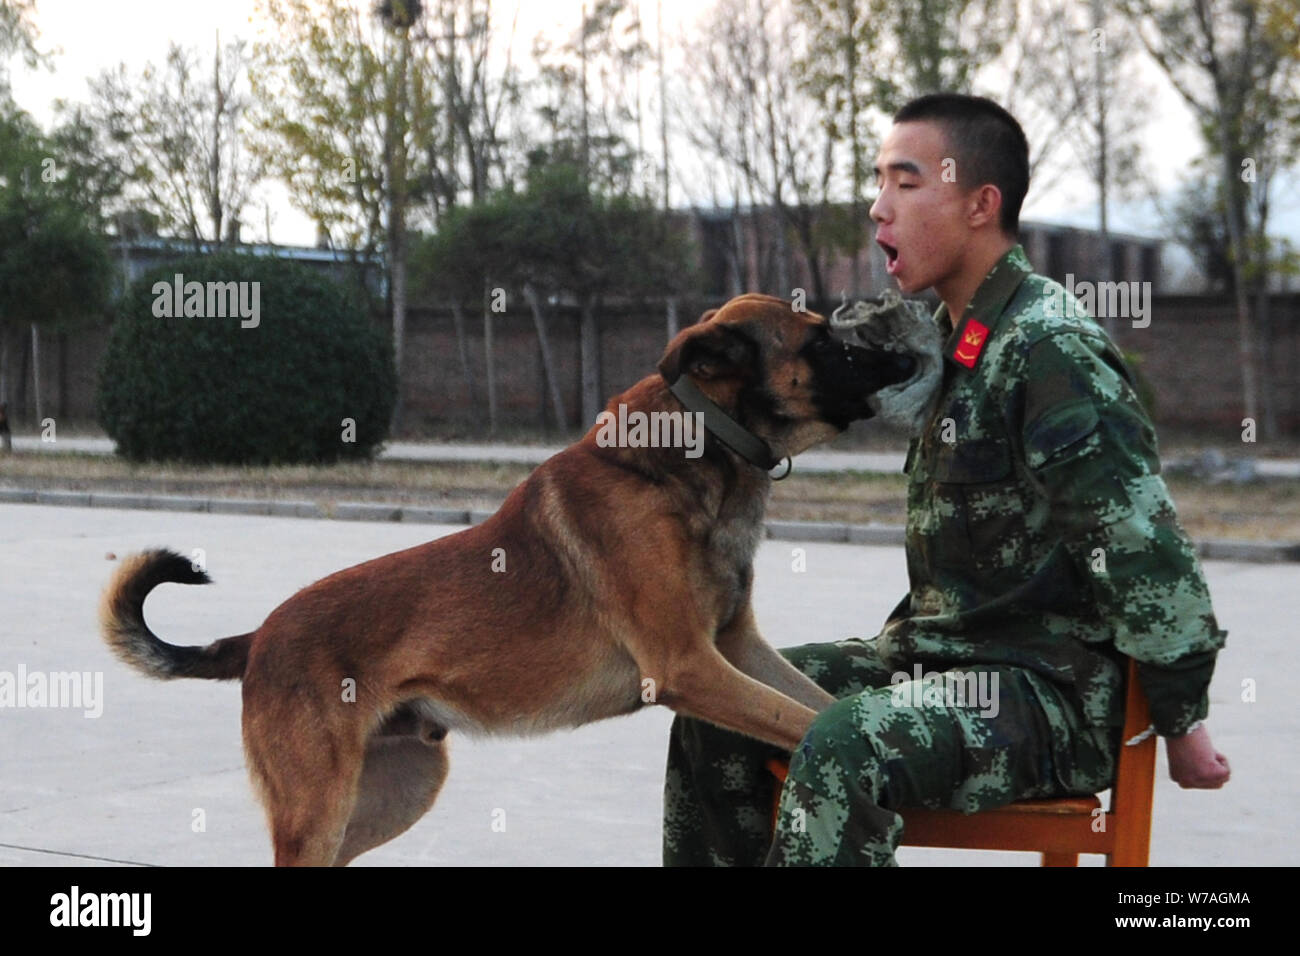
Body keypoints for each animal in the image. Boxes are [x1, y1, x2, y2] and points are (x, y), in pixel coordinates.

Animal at [98, 293, 915, 868]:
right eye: (820, 343)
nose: (906, 357)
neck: (701, 444)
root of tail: (258, 636)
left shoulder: (737, 651)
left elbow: (823, 705)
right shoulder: (691, 667)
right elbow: (801, 720)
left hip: (392, 793)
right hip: (322, 808)